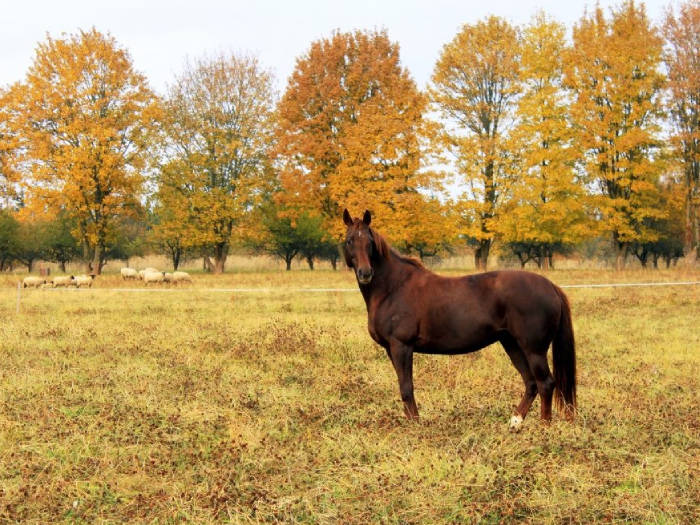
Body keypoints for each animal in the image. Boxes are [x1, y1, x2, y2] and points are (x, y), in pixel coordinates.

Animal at [342, 209, 576, 430]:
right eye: (350, 240)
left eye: (370, 242)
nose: (365, 273)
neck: (393, 287)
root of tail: (551, 286)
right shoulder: (391, 349)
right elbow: (404, 386)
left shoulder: (401, 346)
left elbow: (407, 388)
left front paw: (415, 425)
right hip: (512, 344)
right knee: (531, 383)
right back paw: (515, 423)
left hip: (534, 349)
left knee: (545, 383)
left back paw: (543, 426)